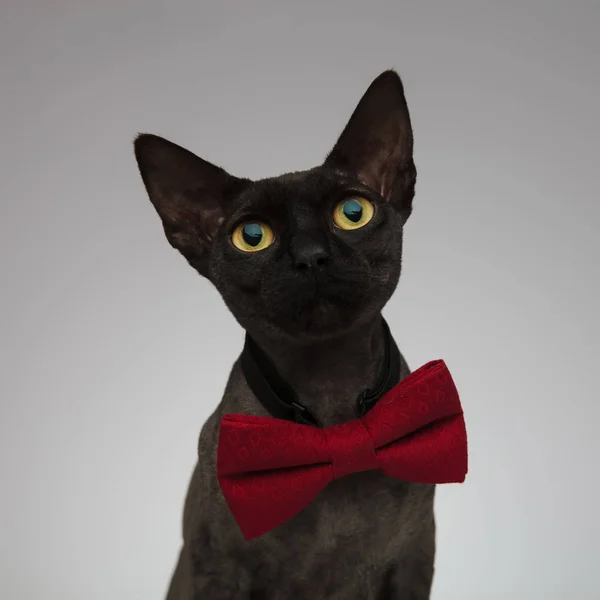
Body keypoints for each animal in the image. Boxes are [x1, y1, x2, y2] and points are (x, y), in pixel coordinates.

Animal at [134, 69, 438, 596]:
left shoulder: (414, 559)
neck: (334, 406)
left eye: (352, 213)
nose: (311, 256)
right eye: (252, 237)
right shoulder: (219, 567)